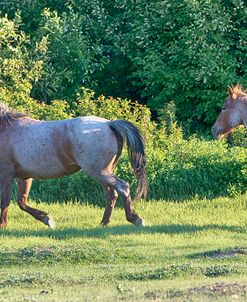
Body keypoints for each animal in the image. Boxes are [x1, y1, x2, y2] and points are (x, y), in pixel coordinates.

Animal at [0, 102, 147, 228]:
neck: (5, 129)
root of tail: (109, 123)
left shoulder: (7, 175)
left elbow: (6, 201)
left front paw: (3, 225)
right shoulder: (25, 176)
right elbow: (22, 202)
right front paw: (47, 219)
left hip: (99, 172)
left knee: (122, 187)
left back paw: (135, 219)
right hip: (103, 172)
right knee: (112, 194)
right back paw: (104, 223)